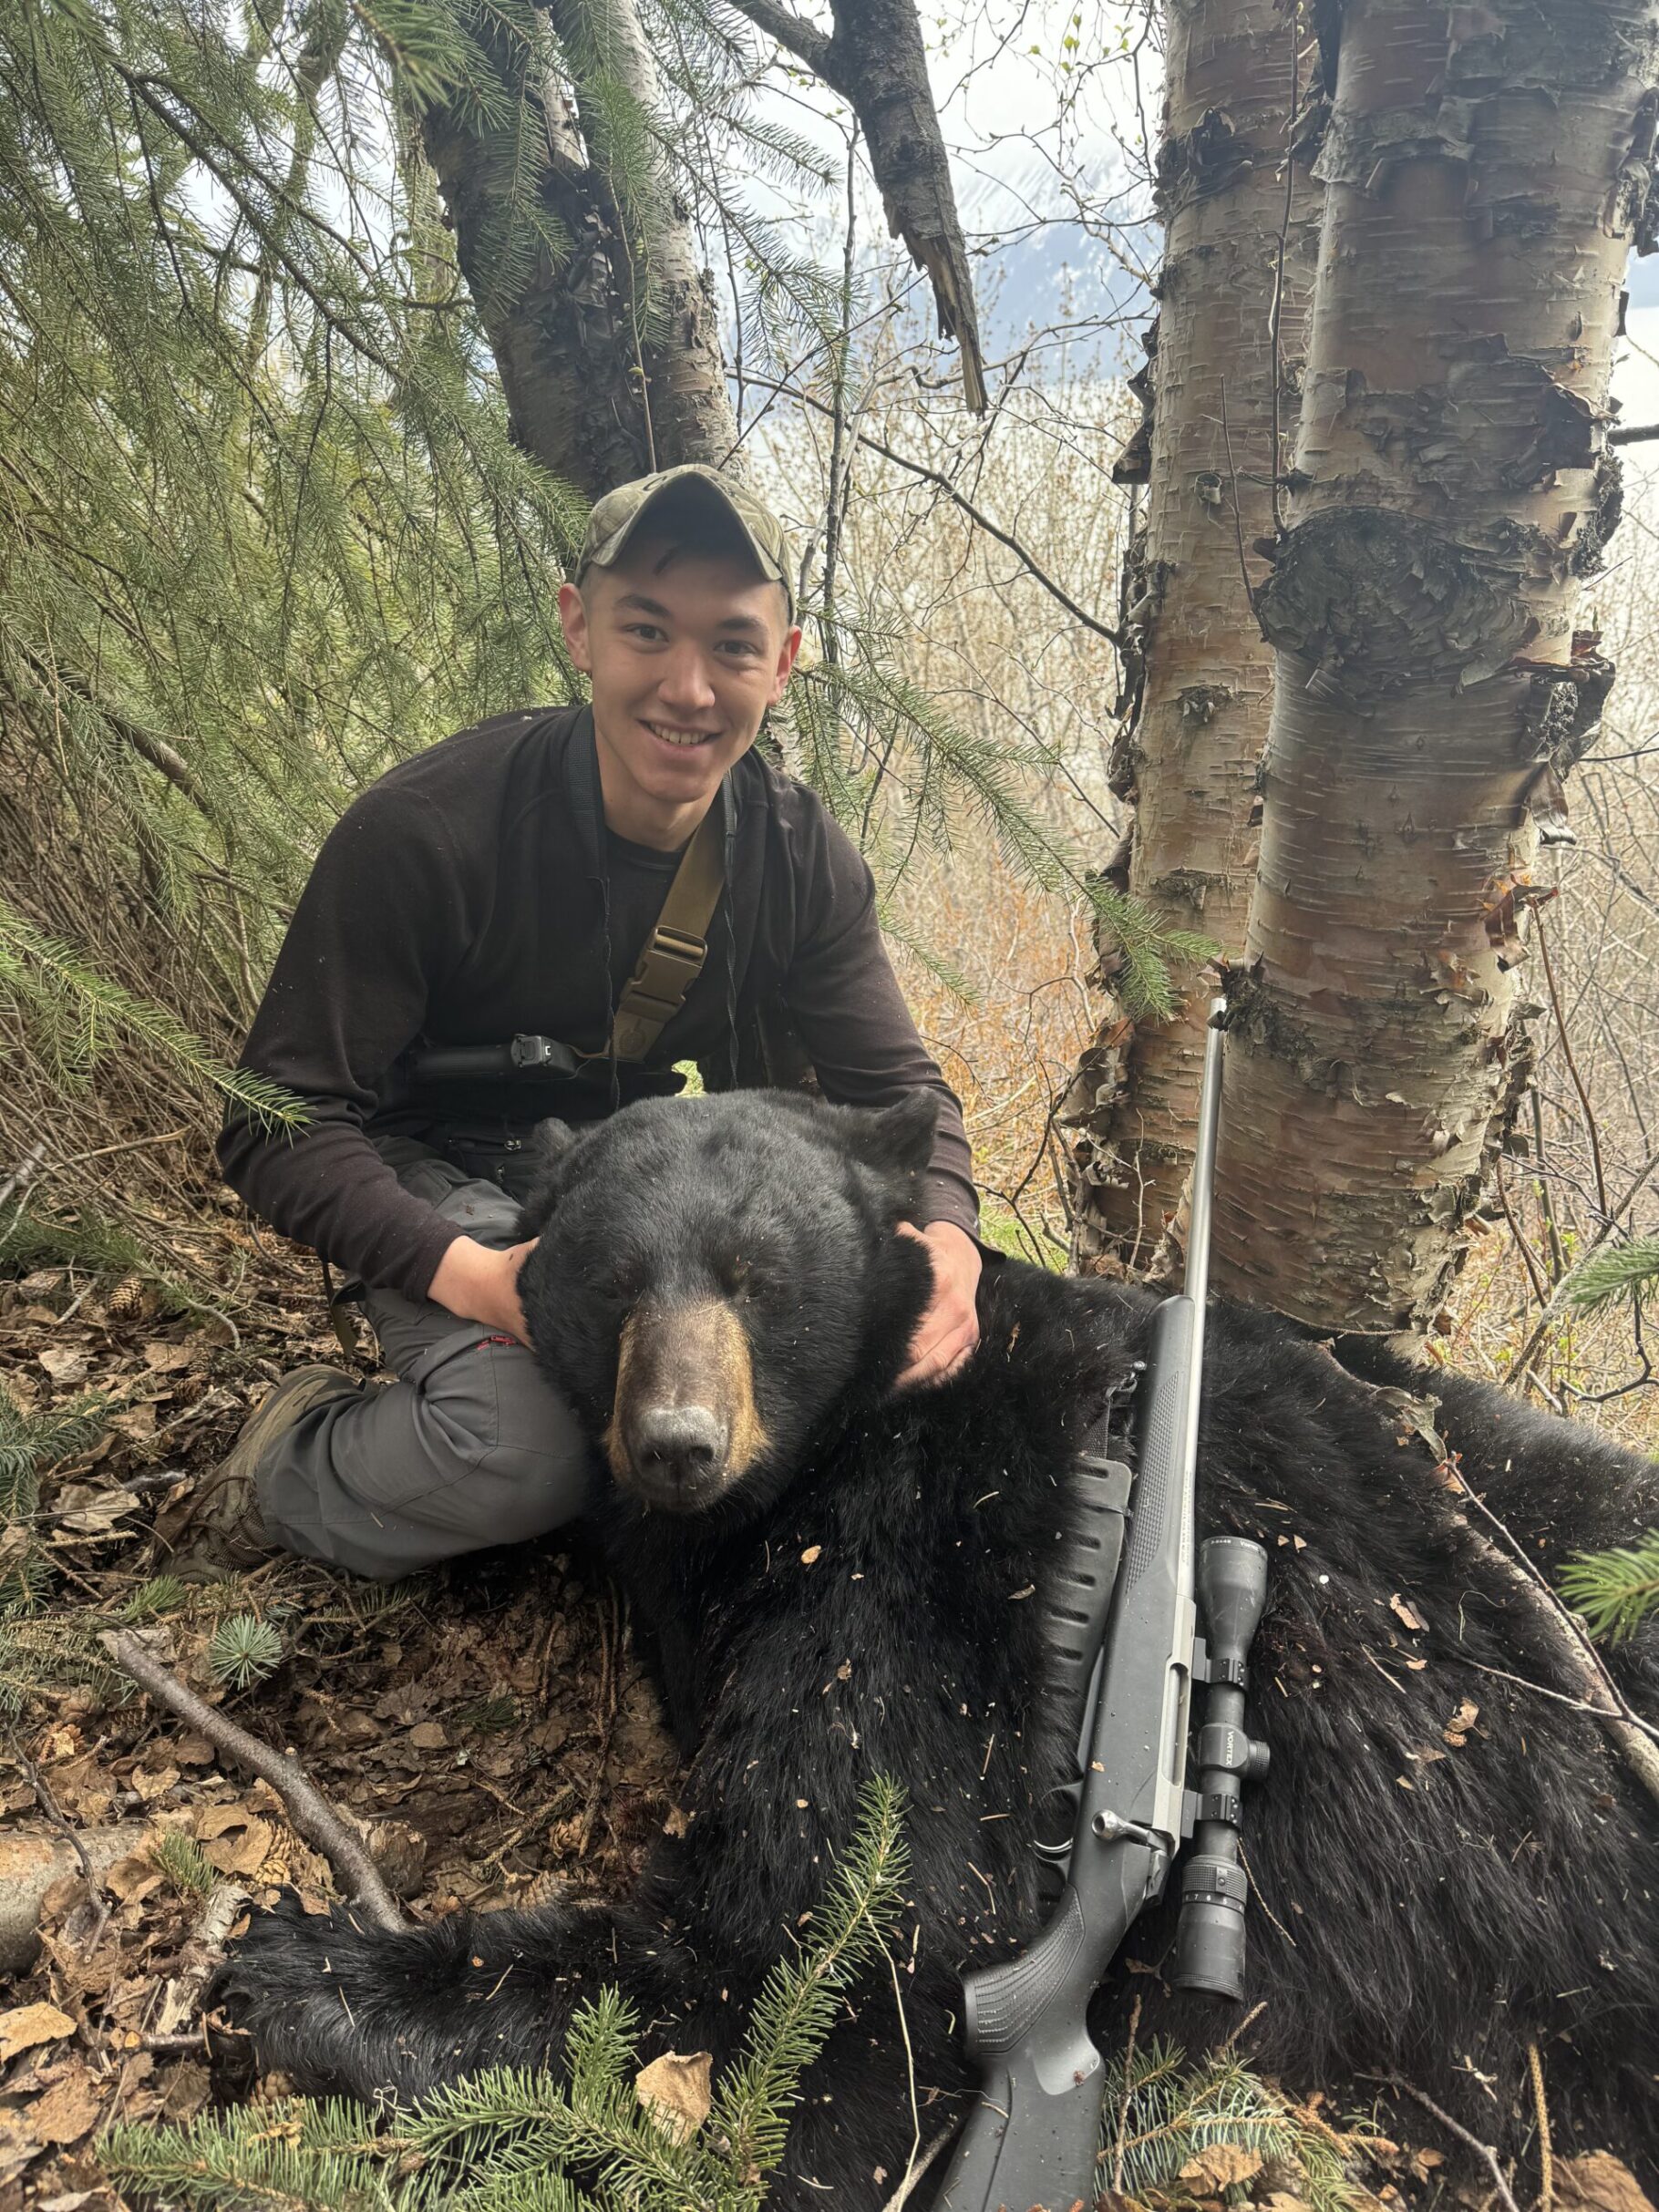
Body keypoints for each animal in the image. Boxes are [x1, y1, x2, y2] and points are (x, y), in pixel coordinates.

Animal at [220, 1089, 1659, 2205]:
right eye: (616, 1279)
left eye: (758, 1279)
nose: (676, 1443)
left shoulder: (914, 1578)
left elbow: (828, 1967)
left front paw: (298, 1963)